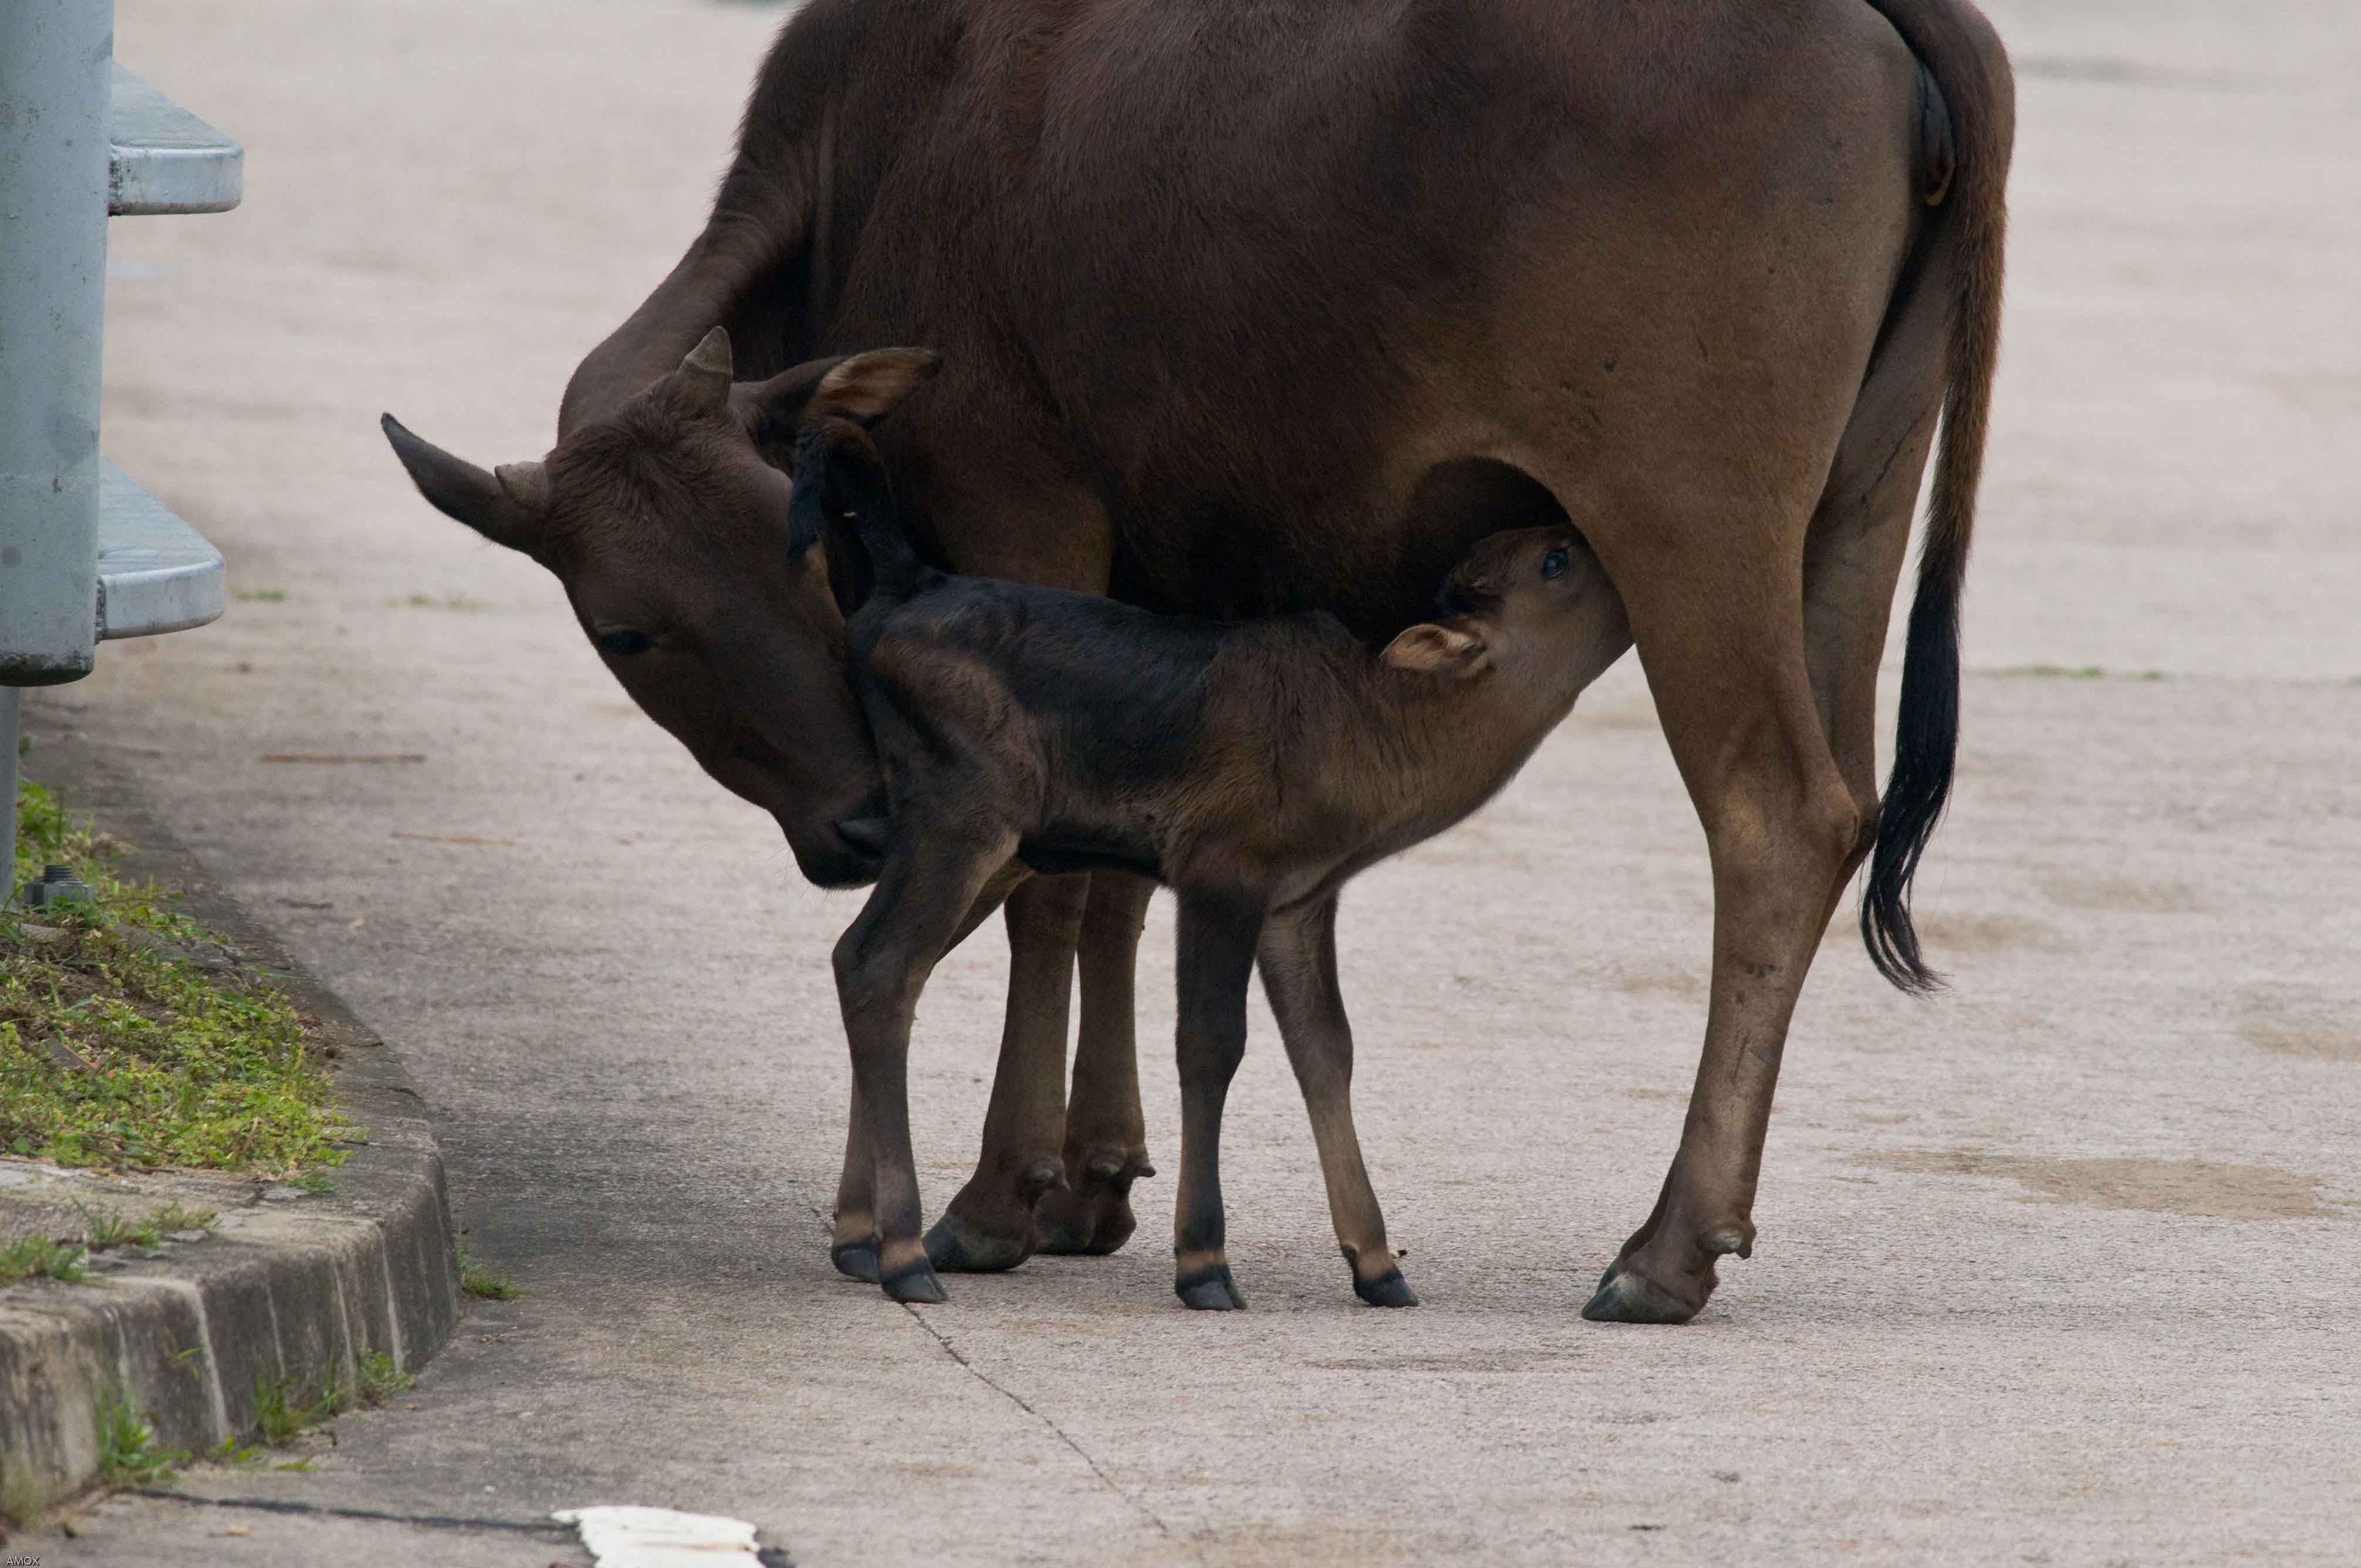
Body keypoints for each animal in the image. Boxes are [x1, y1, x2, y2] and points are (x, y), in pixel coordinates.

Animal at [798, 382, 1643, 1313]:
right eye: (1556, 562)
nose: (1609, 546)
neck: (1376, 733)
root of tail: (903, 583)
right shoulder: (1221, 868)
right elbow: (1210, 1041)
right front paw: (1204, 1260)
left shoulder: (1299, 899)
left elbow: (1326, 1048)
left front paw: (1377, 1262)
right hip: (962, 816)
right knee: (880, 967)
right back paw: (905, 1252)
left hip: (984, 839)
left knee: (869, 965)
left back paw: (858, 1234)